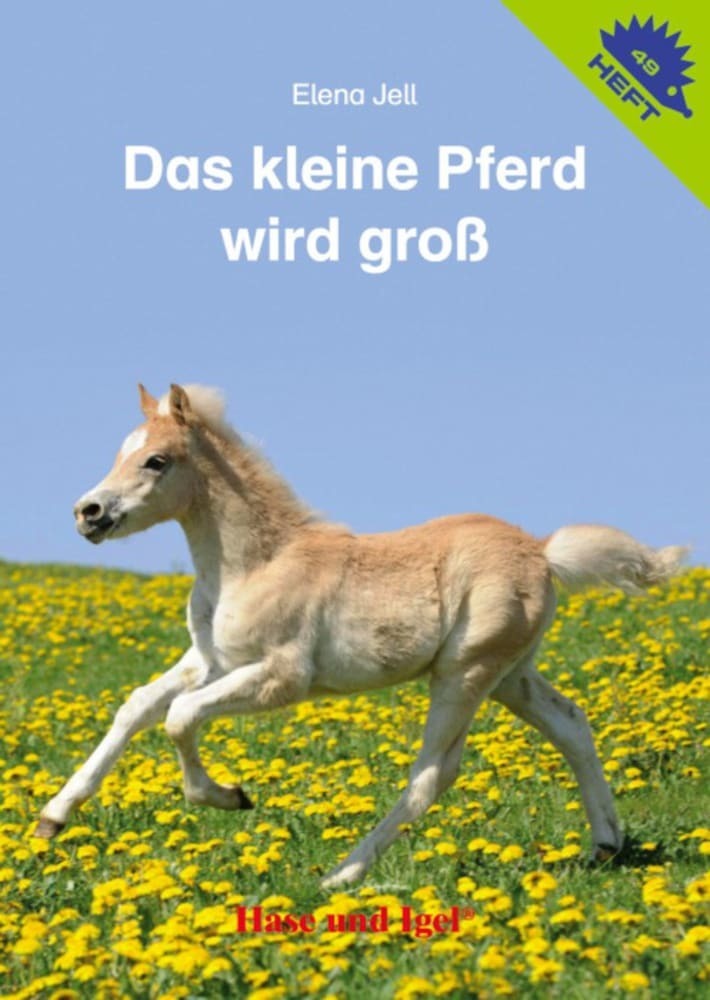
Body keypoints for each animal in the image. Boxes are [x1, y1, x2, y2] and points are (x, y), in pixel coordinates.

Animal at [35, 384, 687, 888]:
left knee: (432, 776)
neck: (255, 563)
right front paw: (51, 818)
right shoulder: (210, 659)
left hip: (465, 673)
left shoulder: (280, 678)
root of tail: (543, 551)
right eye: (121, 452)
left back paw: (341, 876)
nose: (88, 513)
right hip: (511, 674)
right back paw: (606, 843)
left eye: (156, 461)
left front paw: (230, 796)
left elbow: (180, 717)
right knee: (571, 723)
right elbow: (138, 707)